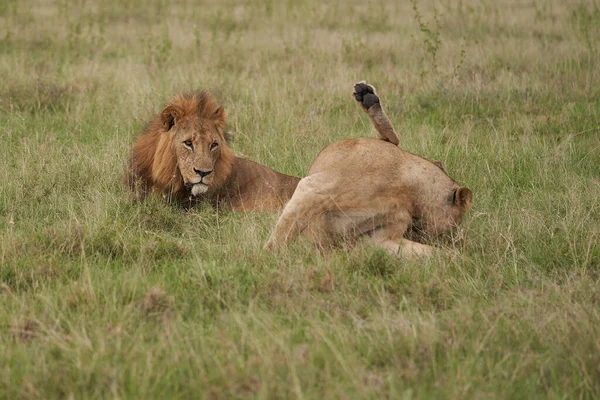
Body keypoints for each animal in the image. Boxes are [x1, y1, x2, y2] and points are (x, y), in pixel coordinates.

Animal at [268, 82, 474, 256]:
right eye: (455, 223)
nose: (450, 238)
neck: (407, 193)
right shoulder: (315, 188)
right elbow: (285, 232)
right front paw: (270, 257)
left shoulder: (378, 237)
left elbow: (423, 251)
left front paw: (456, 257)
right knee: (392, 139)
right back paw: (367, 97)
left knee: (391, 139)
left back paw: (369, 98)